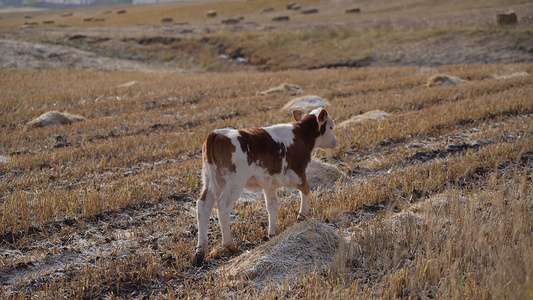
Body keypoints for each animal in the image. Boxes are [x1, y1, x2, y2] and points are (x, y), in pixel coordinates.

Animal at [193, 107, 336, 264]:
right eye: (331, 126)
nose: (335, 141)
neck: (301, 136)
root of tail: (216, 133)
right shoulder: (299, 172)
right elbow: (306, 190)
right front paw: (302, 215)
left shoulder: (270, 184)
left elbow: (272, 205)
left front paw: (272, 232)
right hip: (235, 181)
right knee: (224, 206)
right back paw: (229, 245)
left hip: (211, 179)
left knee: (203, 206)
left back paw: (200, 251)